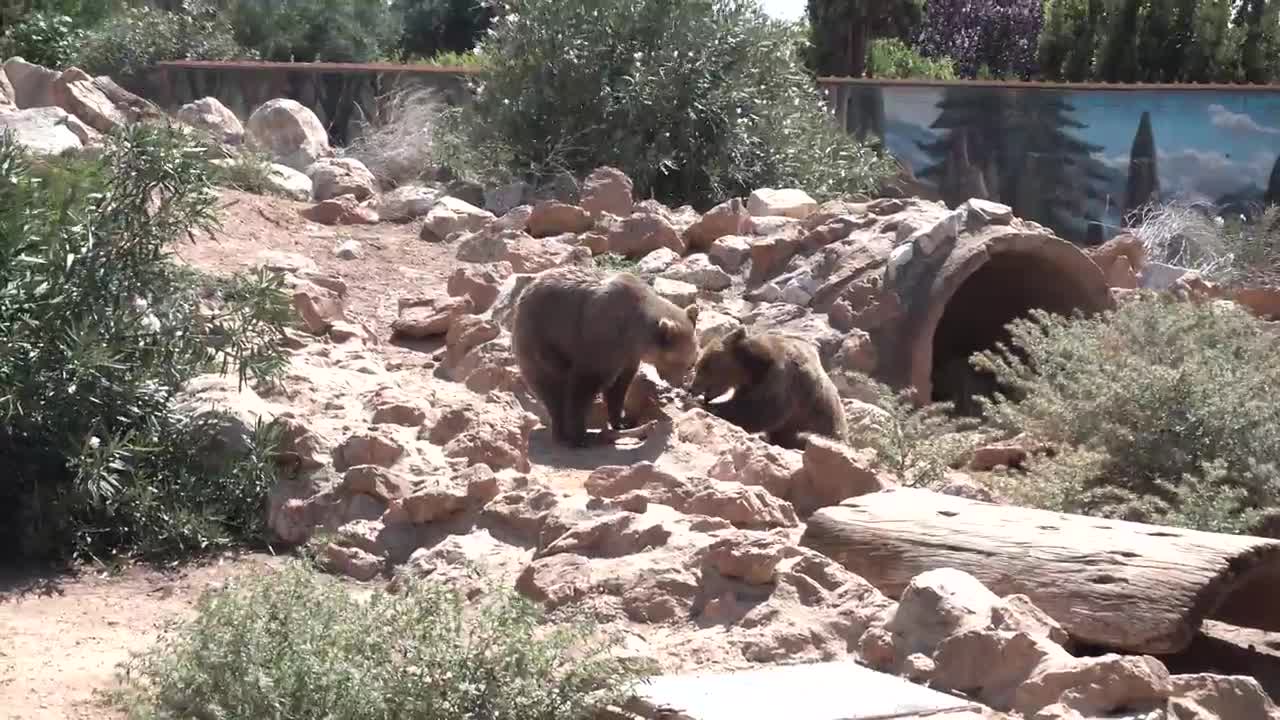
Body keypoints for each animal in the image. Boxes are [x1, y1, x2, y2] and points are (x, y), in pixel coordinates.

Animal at [509, 262, 701, 443]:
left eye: (691, 364)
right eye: (680, 363)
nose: (681, 385)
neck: (634, 335)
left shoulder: (628, 356)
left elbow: (619, 386)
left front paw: (621, 421)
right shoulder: (602, 339)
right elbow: (587, 382)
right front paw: (579, 434)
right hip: (541, 337)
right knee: (550, 384)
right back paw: (565, 433)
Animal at [691, 326, 849, 448]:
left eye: (704, 366)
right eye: (699, 365)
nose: (691, 388)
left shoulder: (782, 379)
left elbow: (760, 409)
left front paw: (710, 407)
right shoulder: (749, 385)